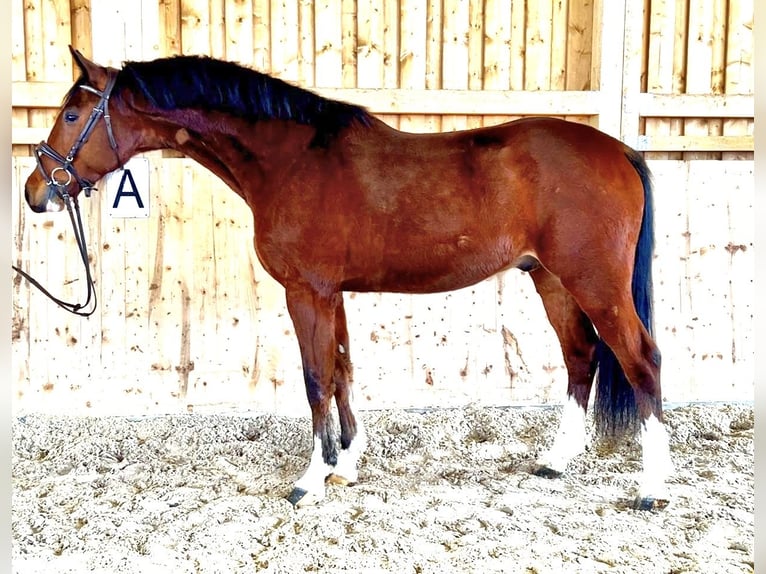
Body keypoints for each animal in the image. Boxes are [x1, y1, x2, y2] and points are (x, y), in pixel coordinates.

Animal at [24, 46, 673, 511]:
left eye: (73, 114)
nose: (36, 192)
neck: (292, 160)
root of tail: (617, 150)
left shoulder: (306, 292)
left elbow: (315, 379)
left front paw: (311, 479)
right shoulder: (330, 293)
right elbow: (341, 370)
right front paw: (348, 464)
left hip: (596, 285)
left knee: (641, 360)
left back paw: (652, 487)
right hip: (552, 281)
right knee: (581, 358)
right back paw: (556, 462)